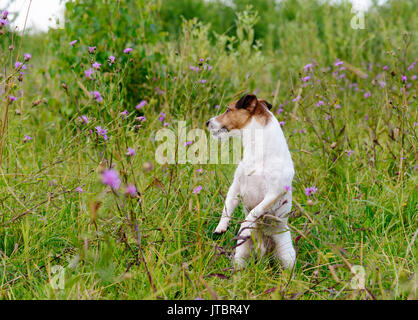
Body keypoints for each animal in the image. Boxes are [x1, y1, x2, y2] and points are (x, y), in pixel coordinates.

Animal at [207, 94, 296, 268]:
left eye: (228, 109)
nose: (207, 122)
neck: (258, 153)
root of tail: (263, 251)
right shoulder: (236, 186)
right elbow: (227, 207)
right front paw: (221, 226)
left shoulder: (273, 194)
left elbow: (254, 212)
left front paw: (245, 228)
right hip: (241, 254)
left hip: (287, 256)